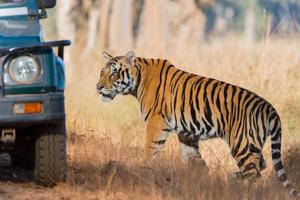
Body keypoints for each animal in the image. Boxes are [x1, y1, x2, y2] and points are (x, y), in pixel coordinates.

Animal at [97, 50, 298, 197]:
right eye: (102, 72)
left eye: (115, 73)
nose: (98, 87)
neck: (138, 81)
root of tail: (270, 108)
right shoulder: (186, 132)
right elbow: (194, 158)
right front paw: (202, 179)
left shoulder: (156, 122)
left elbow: (149, 149)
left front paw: (141, 170)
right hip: (252, 144)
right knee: (261, 164)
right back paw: (232, 177)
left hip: (242, 143)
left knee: (254, 170)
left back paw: (236, 186)